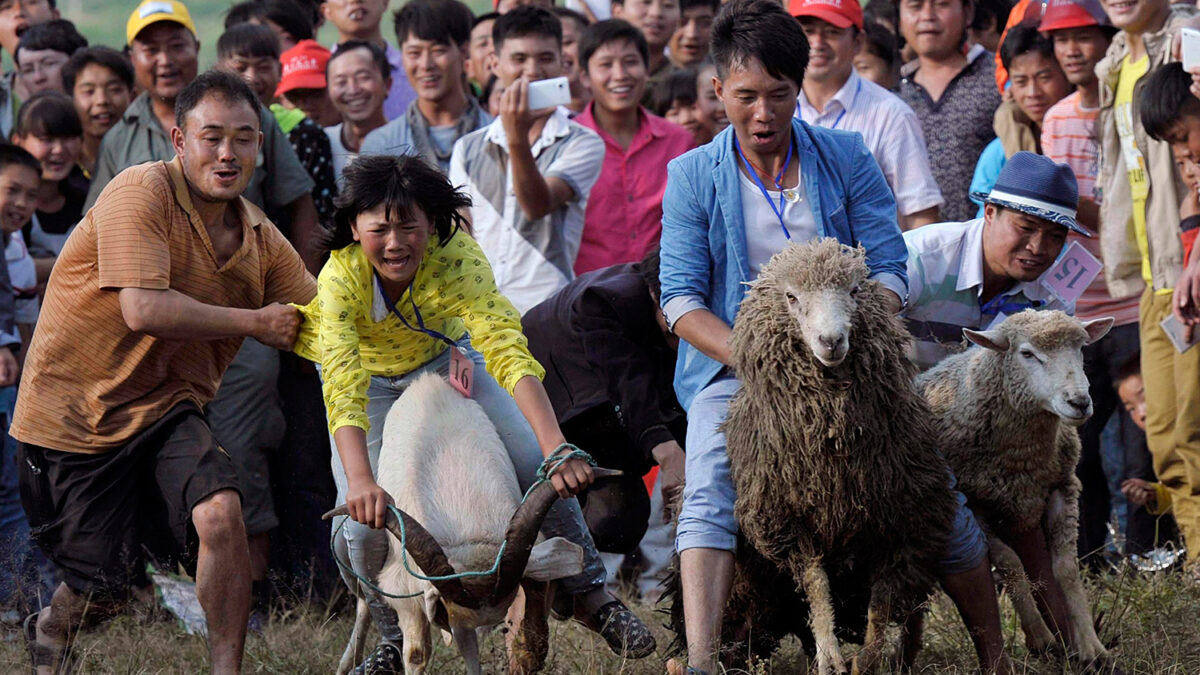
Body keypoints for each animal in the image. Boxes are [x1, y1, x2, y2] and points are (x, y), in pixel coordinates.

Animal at [916, 309, 1113, 667]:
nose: (1079, 402)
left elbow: (1065, 569)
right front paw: (1040, 637)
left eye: (1080, 349)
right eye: (1027, 354)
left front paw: (1090, 646)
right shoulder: (974, 502)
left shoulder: (1062, 487)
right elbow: (1009, 564)